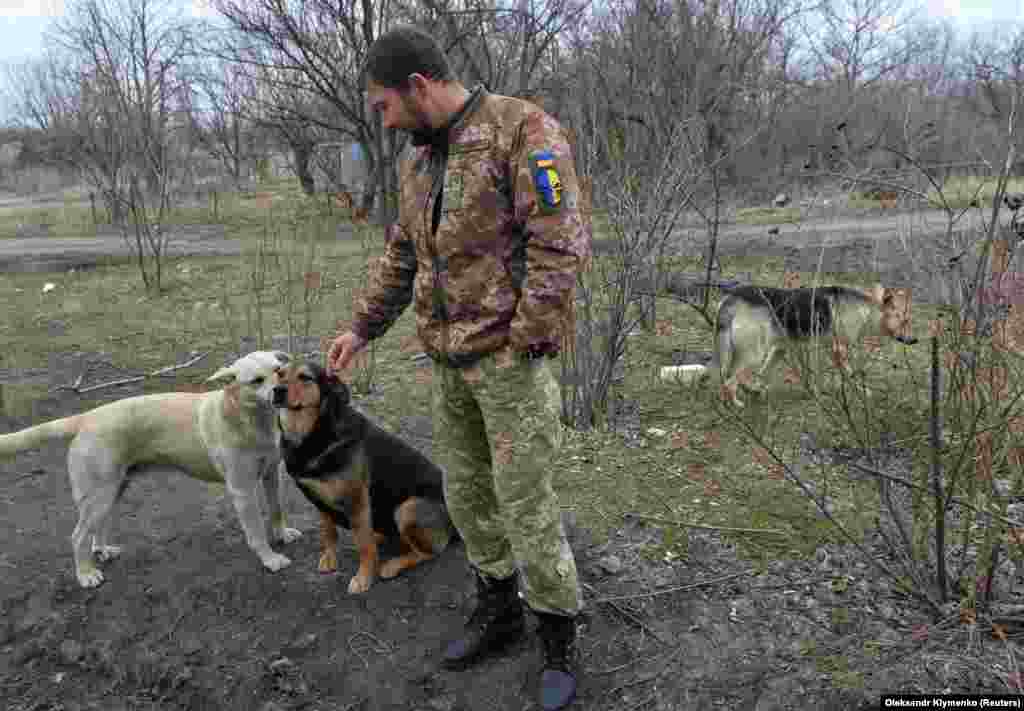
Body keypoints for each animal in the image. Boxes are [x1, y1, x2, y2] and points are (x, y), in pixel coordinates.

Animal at [0, 352, 301, 590]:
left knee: (95, 531)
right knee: (77, 538)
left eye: (279, 371)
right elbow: (257, 532)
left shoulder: (272, 476)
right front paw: (270, 559)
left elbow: (277, 510)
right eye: (257, 381)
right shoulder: (243, 491)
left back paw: (103, 551)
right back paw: (85, 574)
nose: (281, 391)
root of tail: (86, 418)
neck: (250, 420)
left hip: (111, 493)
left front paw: (282, 535)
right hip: (99, 497)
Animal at [270, 362, 454, 594]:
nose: (277, 391)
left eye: (305, 377)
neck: (312, 433)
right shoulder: (319, 501)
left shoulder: (357, 500)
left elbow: (365, 548)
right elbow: (329, 533)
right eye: (279, 374)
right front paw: (330, 558)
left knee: (429, 552)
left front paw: (364, 578)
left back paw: (393, 565)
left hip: (407, 509)